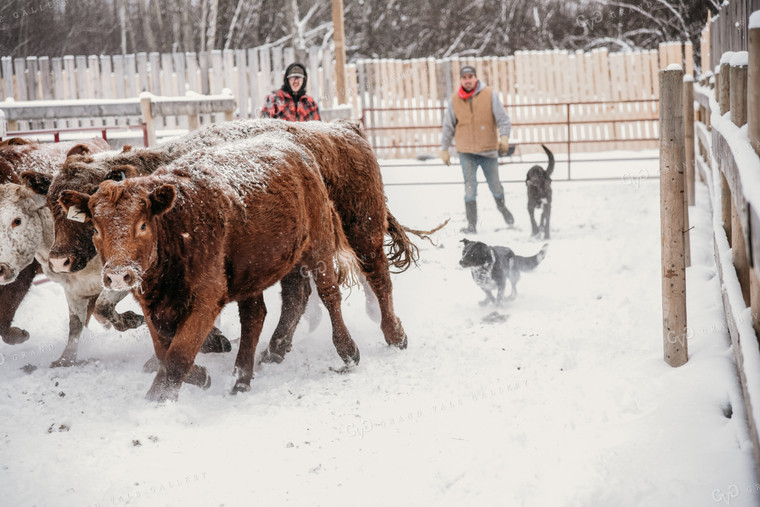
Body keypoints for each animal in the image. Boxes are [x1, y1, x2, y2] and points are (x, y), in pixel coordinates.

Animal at [43, 119, 416, 364]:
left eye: (78, 213)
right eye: (50, 203)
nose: (59, 259)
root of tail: (347, 129)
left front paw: (214, 341)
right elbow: (104, 308)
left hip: (362, 231)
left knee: (378, 278)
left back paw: (394, 334)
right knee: (297, 296)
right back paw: (275, 349)